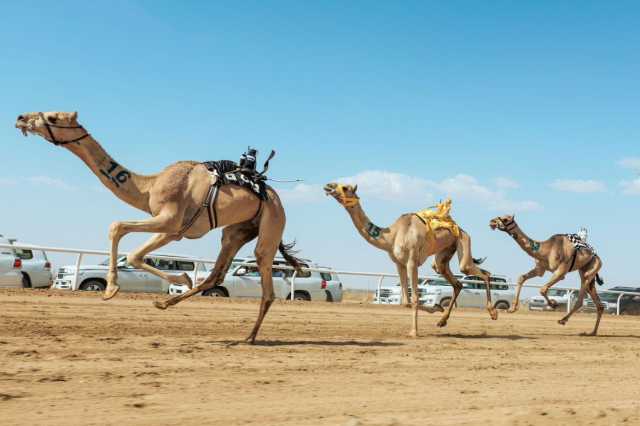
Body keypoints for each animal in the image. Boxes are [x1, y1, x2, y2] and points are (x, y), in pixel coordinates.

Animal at [16, 110, 302, 342]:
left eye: (53, 117)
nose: (21, 118)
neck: (149, 186)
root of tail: (274, 197)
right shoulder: (175, 231)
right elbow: (128, 244)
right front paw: (179, 279)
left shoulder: (170, 221)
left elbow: (121, 234)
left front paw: (111, 289)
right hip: (236, 231)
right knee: (217, 273)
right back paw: (166, 303)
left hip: (272, 223)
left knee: (265, 277)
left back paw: (250, 336)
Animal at [322, 183, 498, 336]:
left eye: (345, 187)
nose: (328, 186)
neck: (392, 236)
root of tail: (461, 229)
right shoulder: (399, 264)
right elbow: (405, 301)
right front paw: (436, 308)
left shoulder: (412, 262)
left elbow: (414, 298)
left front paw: (414, 332)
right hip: (443, 256)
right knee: (456, 282)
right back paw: (442, 321)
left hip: (463, 243)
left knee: (482, 274)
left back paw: (493, 313)